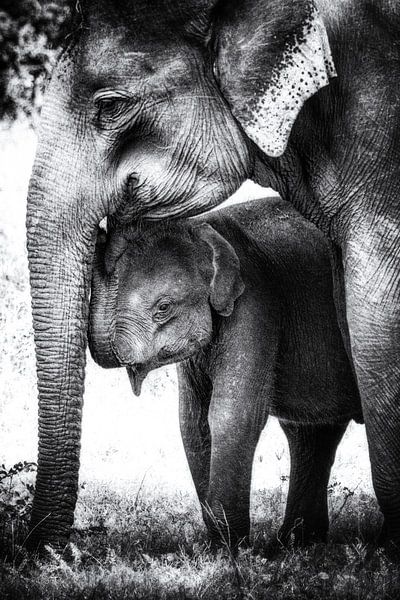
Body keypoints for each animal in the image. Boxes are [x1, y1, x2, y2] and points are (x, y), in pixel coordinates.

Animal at [89, 197, 360, 548]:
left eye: (163, 308)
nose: (100, 231)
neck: (204, 228)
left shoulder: (255, 304)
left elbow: (232, 415)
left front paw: (231, 549)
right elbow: (192, 422)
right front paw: (216, 546)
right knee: (310, 433)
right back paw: (298, 544)